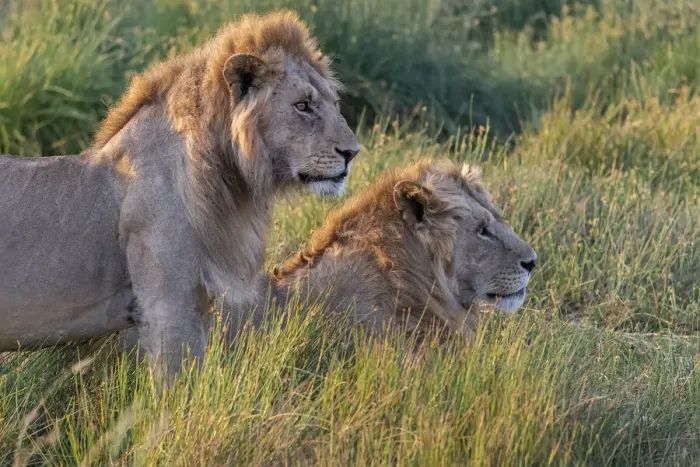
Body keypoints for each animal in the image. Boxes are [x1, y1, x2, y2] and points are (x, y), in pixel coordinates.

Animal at [0, 11, 359, 386]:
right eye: (303, 106)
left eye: (335, 104)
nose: (353, 153)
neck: (228, 181)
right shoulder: (166, 307)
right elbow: (178, 389)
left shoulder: (197, 304)